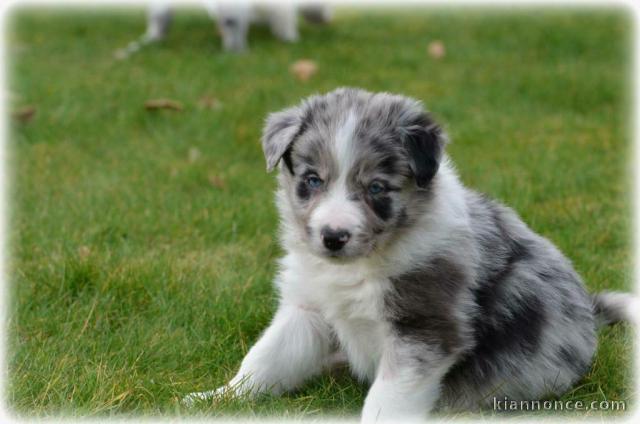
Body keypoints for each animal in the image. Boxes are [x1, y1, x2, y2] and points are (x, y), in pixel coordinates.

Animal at [184, 87, 636, 420]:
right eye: (312, 180)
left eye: (377, 188)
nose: (333, 236)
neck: (361, 265)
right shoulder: (307, 308)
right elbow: (265, 360)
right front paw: (218, 399)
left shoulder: (423, 326)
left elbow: (387, 398)